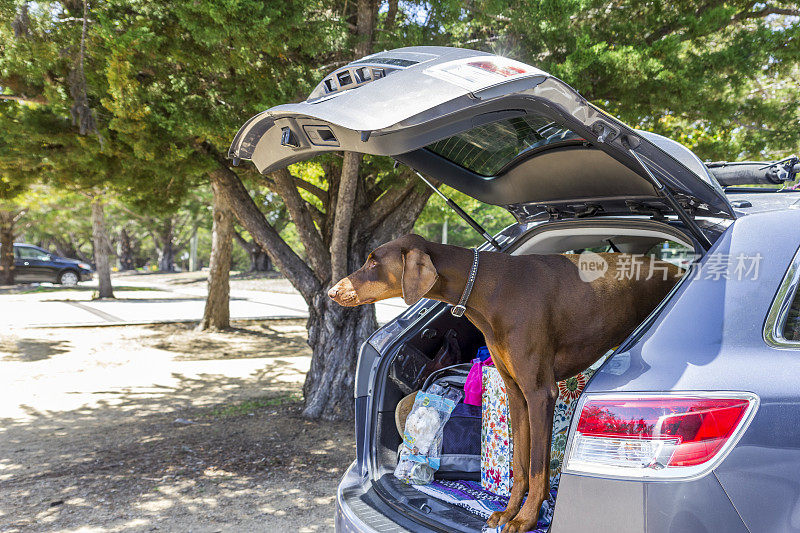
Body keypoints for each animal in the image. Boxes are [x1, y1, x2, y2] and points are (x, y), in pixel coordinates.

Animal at [326, 234, 680, 532]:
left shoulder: (540, 393)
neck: (487, 287)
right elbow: (521, 465)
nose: (332, 292)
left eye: (374, 262)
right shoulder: (516, 392)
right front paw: (509, 512)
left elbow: (537, 467)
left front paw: (526, 518)